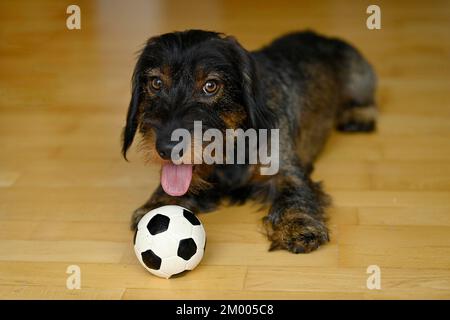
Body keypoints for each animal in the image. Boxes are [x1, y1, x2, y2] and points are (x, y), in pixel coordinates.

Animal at [120, 30, 376, 255]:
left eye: (211, 85)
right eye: (156, 83)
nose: (166, 149)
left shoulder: (285, 168)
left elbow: (295, 193)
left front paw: (298, 225)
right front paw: (156, 204)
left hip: (360, 81)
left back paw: (358, 116)